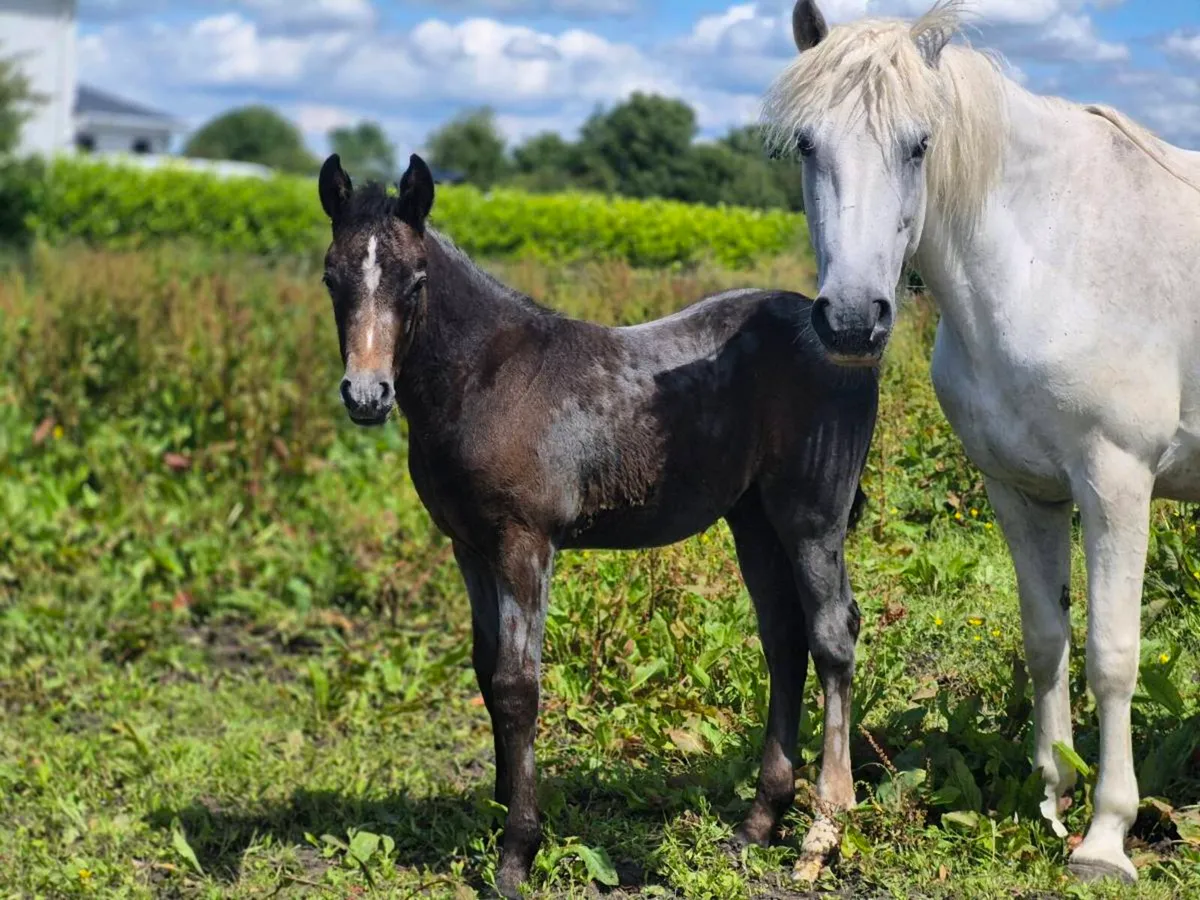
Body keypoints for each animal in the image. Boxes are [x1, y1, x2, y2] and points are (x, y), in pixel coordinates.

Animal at [316, 151, 878, 896]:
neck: (485, 377)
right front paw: (499, 809)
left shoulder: (525, 544)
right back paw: (759, 823)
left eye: (416, 281)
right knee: (782, 640)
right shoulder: (469, 547)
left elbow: (517, 685)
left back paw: (825, 829)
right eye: (332, 277)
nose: (366, 395)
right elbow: (485, 670)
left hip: (813, 516)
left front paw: (517, 850)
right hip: (753, 520)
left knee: (832, 635)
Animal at [762, 0, 1200, 884]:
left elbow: (1112, 654)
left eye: (919, 144)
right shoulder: (1022, 490)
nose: (852, 320)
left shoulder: (1117, 482)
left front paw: (1106, 838)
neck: (1050, 256)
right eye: (807, 145)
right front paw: (1051, 799)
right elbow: (1045, 640)